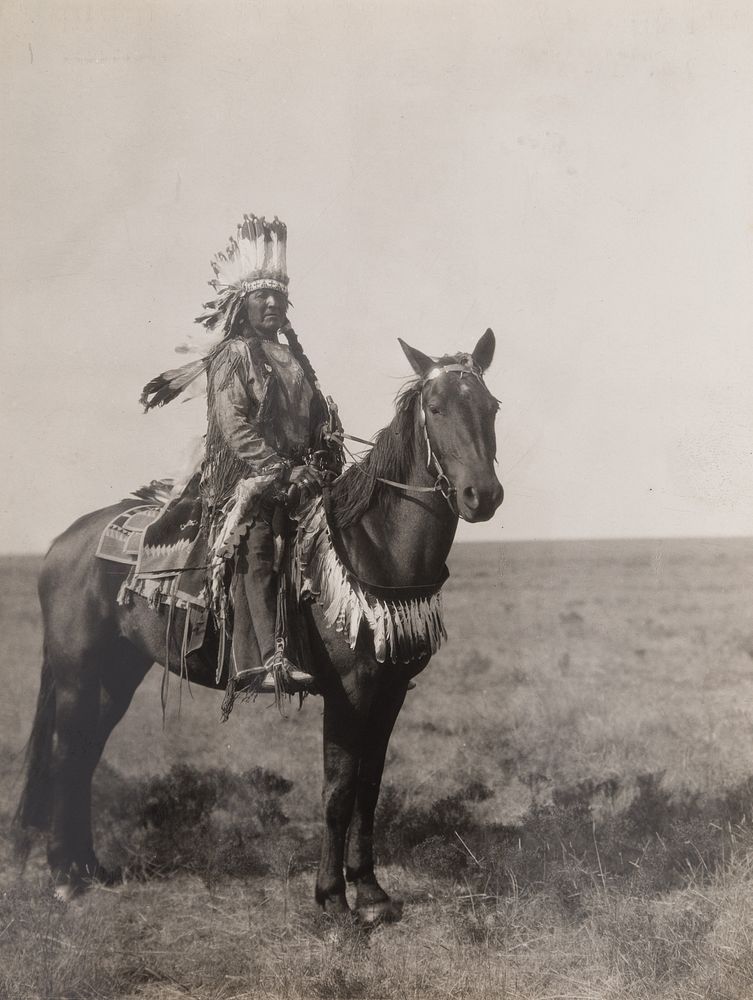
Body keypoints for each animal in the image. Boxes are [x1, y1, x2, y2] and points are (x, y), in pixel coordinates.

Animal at [11, 328, 502, 920]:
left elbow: (370, 787)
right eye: (435, 407)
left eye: (491, 407)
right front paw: (332, 899)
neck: (374, 546)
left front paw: (371, 891)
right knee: (66, 756)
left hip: (117, 672)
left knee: (86, 753)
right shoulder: (349, 692)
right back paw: (65, 876)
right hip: (76, 674)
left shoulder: (390, 690)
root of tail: (62, 542)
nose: (483, 496)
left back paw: (90, 869)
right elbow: (338, 790)